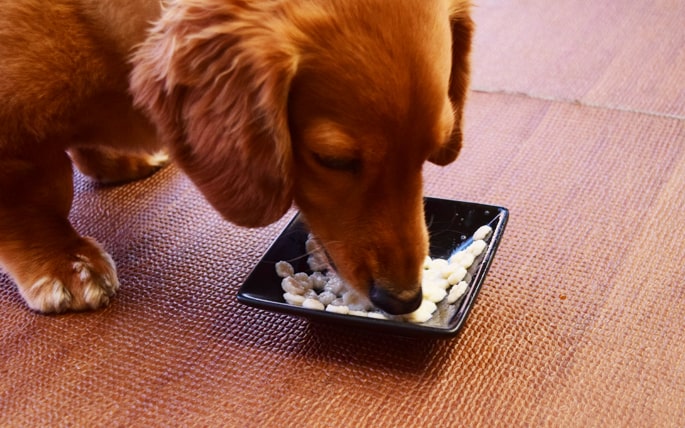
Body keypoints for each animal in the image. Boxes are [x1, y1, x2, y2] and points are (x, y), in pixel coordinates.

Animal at [0, 0, 470, 314]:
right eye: (332, 160)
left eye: (433, 148)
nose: (403, 299)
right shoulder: (15, 135)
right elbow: (32, 199)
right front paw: (63, 264)